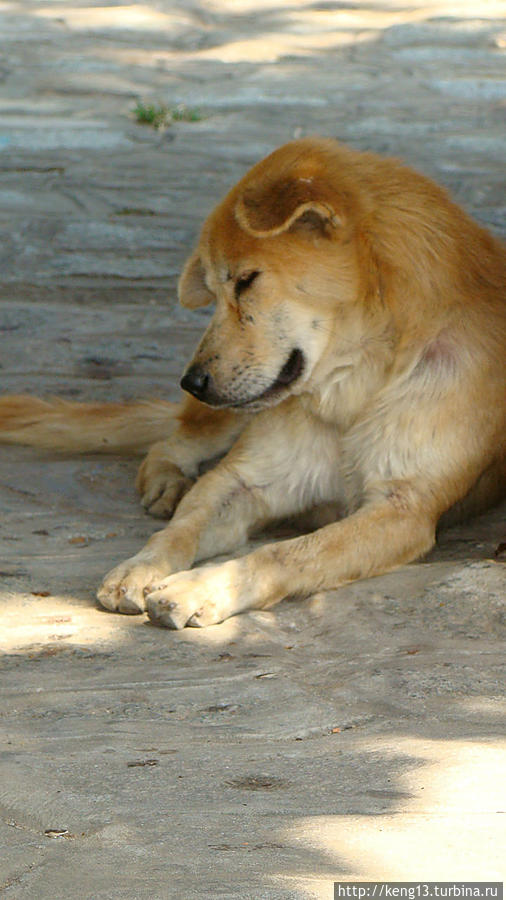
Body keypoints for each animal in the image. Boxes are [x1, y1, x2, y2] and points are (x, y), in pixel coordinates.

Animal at [0, 141, 506, 628]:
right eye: (213, 289)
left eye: (246, 281)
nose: (191, 381)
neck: (354, 388)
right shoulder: (243, 480)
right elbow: (182, 528)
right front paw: (141, 565)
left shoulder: (402, 510)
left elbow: (282, 555)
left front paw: (199, 587)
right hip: (220, 420)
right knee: (173, 441)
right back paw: (168, 479)